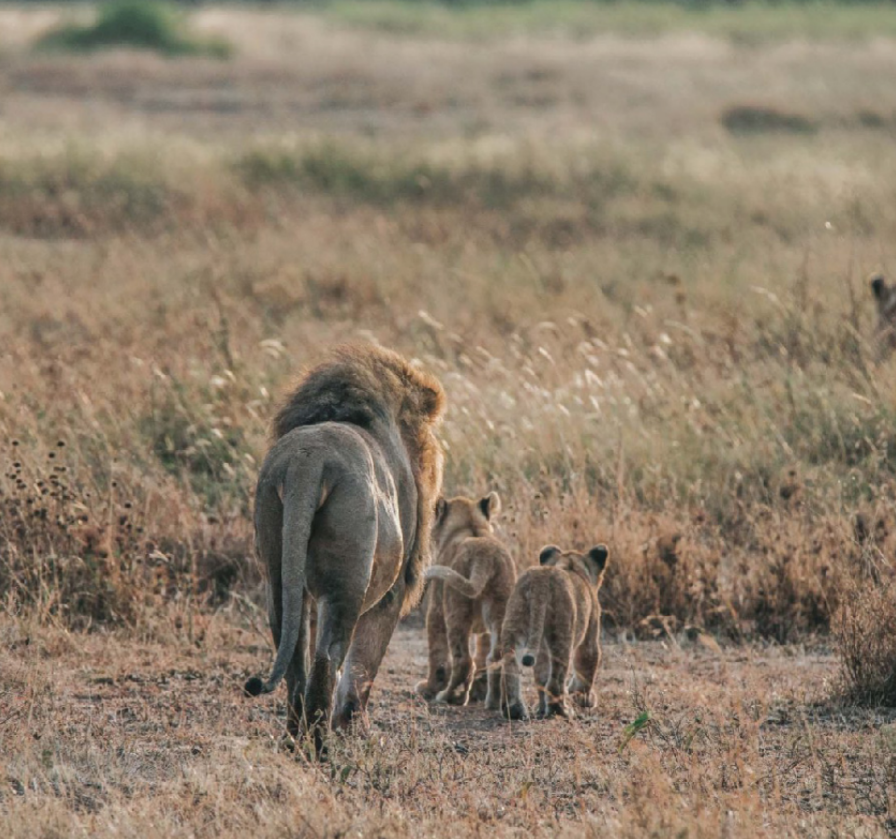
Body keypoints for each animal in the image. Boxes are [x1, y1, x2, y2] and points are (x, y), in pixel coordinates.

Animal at [245, 344, 444, 752]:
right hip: (346, 583)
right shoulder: (394, 591)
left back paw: (295, 739)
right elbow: (364, 662)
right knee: (327, 656)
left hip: (277, 568)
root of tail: (307, 459)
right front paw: (355, 728)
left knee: (296, 656)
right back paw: (321, 746)